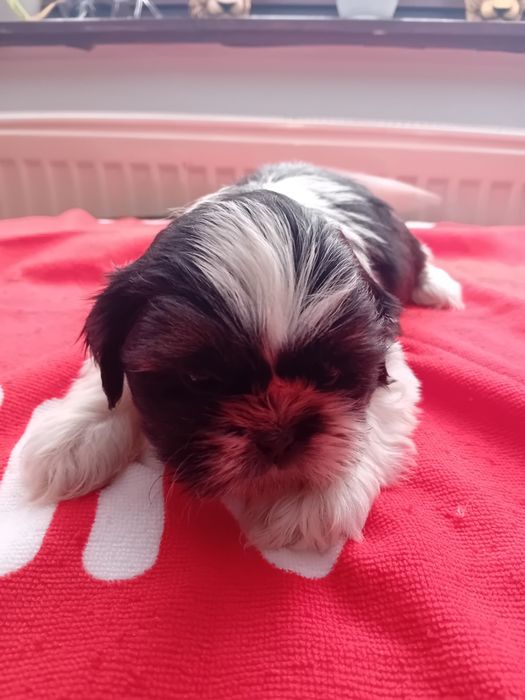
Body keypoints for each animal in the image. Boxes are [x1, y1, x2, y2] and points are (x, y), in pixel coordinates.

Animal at [21, 163, 463, 552]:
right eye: (200, 379)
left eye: (330, 373)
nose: (279, 433)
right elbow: (108, 383)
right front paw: (73, 436)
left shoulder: (391, 364)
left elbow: (371, 418)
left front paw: (310, 493)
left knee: (422, 255)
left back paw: (438, 288)